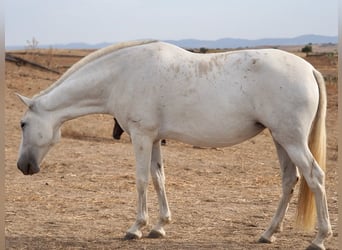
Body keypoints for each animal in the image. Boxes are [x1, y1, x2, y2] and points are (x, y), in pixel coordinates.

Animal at [16, 40, 332, 249]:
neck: (122, 74)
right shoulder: (154, 138)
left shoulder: (141, 136)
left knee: (315, 177)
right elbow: (159, 179)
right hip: (281, 139)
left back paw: (319, 238)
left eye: (22, 124)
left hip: (291, 140)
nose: (23, 166)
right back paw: (268, 233)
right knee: (290, 180)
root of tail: (309, 69)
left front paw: (136, 228)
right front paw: (160, 226)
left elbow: (142, 180)